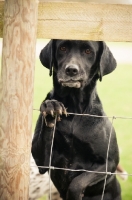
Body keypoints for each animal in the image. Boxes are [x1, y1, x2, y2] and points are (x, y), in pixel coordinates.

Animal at [31, 39, 121, 199]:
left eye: (88, 51)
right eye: (62, 48)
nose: (71, 70)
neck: (74, 110)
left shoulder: (108, 163)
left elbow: (78, 182)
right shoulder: (42, 162)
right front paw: (51, 106)